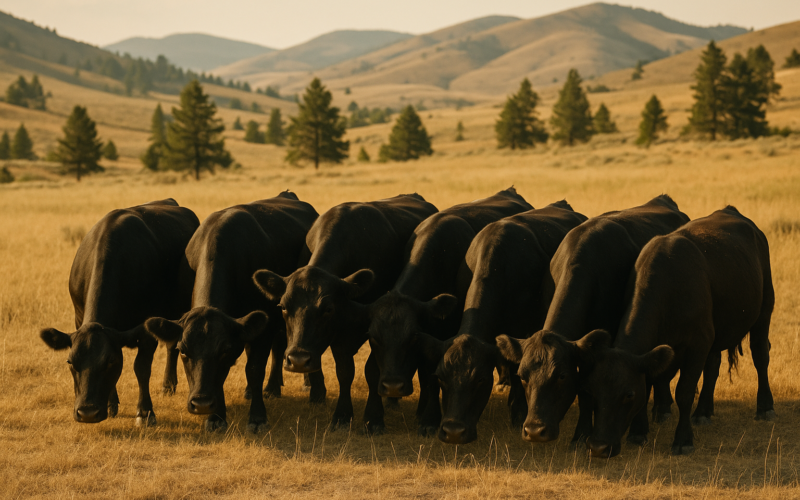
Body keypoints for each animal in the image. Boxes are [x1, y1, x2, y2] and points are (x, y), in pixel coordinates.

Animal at [39, 199, 199, 426]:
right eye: (70, 362)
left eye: (110, 362)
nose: (87, 413)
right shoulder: (80, 318)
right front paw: (110, 404)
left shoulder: (146, 328)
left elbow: (141, 368)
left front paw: (145, 412)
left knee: (172, 344)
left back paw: (168, 385)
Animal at [143, 191, 319, 432]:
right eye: (183, 351)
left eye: (224, 350)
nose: (201, 403)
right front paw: (216, 417)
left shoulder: (263, 330)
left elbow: (254, 369)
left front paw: (257, 417)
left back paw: (288, 386)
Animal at [253, 193, 438, 434]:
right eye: (283, 307)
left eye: (328, 309)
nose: (298, 360)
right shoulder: (339, 337)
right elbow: (344, 371)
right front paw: (341, 414)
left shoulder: (373, 331)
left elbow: (372, 370)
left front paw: (373, 418)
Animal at [576, 206, 775, 457]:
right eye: (593, 391)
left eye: (628, 394)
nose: (598, 447)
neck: (669, 289)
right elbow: (651, 381)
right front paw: (638, 431)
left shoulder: (698, 344)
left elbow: (684, 392)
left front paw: (683, 439)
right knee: (713, 366)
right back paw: (703, 412)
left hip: (764, 311)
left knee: (760, 355)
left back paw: (765, 407)